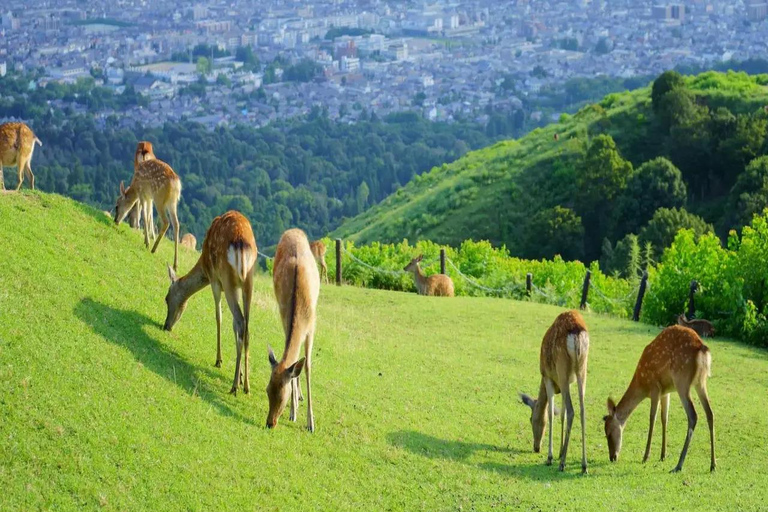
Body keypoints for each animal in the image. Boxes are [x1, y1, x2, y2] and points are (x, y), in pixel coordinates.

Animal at [162, 211, 257, 395]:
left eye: (166, 298)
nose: (166, 326)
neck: (204, 266)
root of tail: (241, 244)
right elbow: (233, 326)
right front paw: (241, 375)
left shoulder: (215, 280)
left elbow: (218, 317)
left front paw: (219, 360)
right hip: (248, 283)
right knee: (246, 326)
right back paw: (246, 385)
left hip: (227, 279)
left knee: (241, 322)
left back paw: (234, 386)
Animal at [266, 228, 320, 432]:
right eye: (267, 390)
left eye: (283, 394)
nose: (270, 423)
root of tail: (293, 230)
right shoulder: (284, 318)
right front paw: (293, 412)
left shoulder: (312, 326)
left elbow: (308, 366)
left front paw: (311, 423)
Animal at [520, 310, 590, 473]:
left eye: (531, 419)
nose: (536, 447)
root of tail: (577, 332)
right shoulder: (567, 383)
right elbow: (561, 413)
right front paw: (560, 451)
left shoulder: (548, 377)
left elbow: (551, 414)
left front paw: (551, 456)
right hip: (582, 369)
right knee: (582, 410)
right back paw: (584, 465)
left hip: (562, 367)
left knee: (572, 411)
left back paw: (562, 463)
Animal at [603, 325, 715, 472]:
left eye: (609, 433)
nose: (612, 457)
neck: (642, 384)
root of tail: (703, 350)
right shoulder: (665, 392)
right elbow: (664, 418)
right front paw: (663, 455)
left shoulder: (654, 387)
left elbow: (652, 418)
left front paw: (645, 457)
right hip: (700, 382)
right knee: (710, 413)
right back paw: (713, 465)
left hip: (682, 380)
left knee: (693, 415)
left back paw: (679, 465)